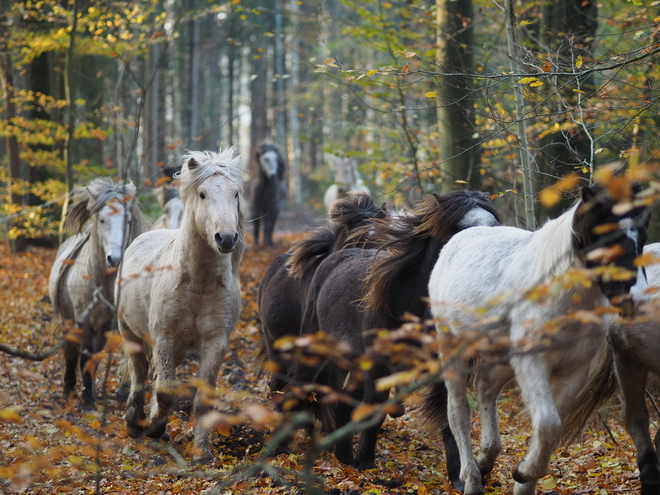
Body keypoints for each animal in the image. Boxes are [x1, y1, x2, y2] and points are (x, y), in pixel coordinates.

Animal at [49, 180, 146, 408]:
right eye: (102, 220)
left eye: (128, 220)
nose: (115, 259)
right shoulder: (84, 322)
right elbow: (84, 355)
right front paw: (86, 400)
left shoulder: (104, 326)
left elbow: (95, 357)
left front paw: (90, 393)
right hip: (68, 319)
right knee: (71, 351)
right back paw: (68, 389)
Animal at [116, 147, 245, 464]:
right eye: (202, 194)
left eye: (236, 193)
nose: (226, 238)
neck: (197, 283)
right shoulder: (164, 336)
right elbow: (165, 391)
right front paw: (152, 429)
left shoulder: (215, 342)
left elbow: (201, 401)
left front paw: (201, 453)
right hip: (130, 332)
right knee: (139, 373)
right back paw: (134, 423)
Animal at [428, 185, 648, 495]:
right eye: (604, 236)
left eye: (641, 237)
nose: (634, 299)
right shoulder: (533, 363)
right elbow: (547, 423)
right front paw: (522, 472)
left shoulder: (572, 370)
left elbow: (551, 429)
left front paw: (523, 479)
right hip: (453, 349)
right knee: (458, 412)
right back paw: (471, 480)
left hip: (502, 357)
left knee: (486, 387)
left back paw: (486, 461)